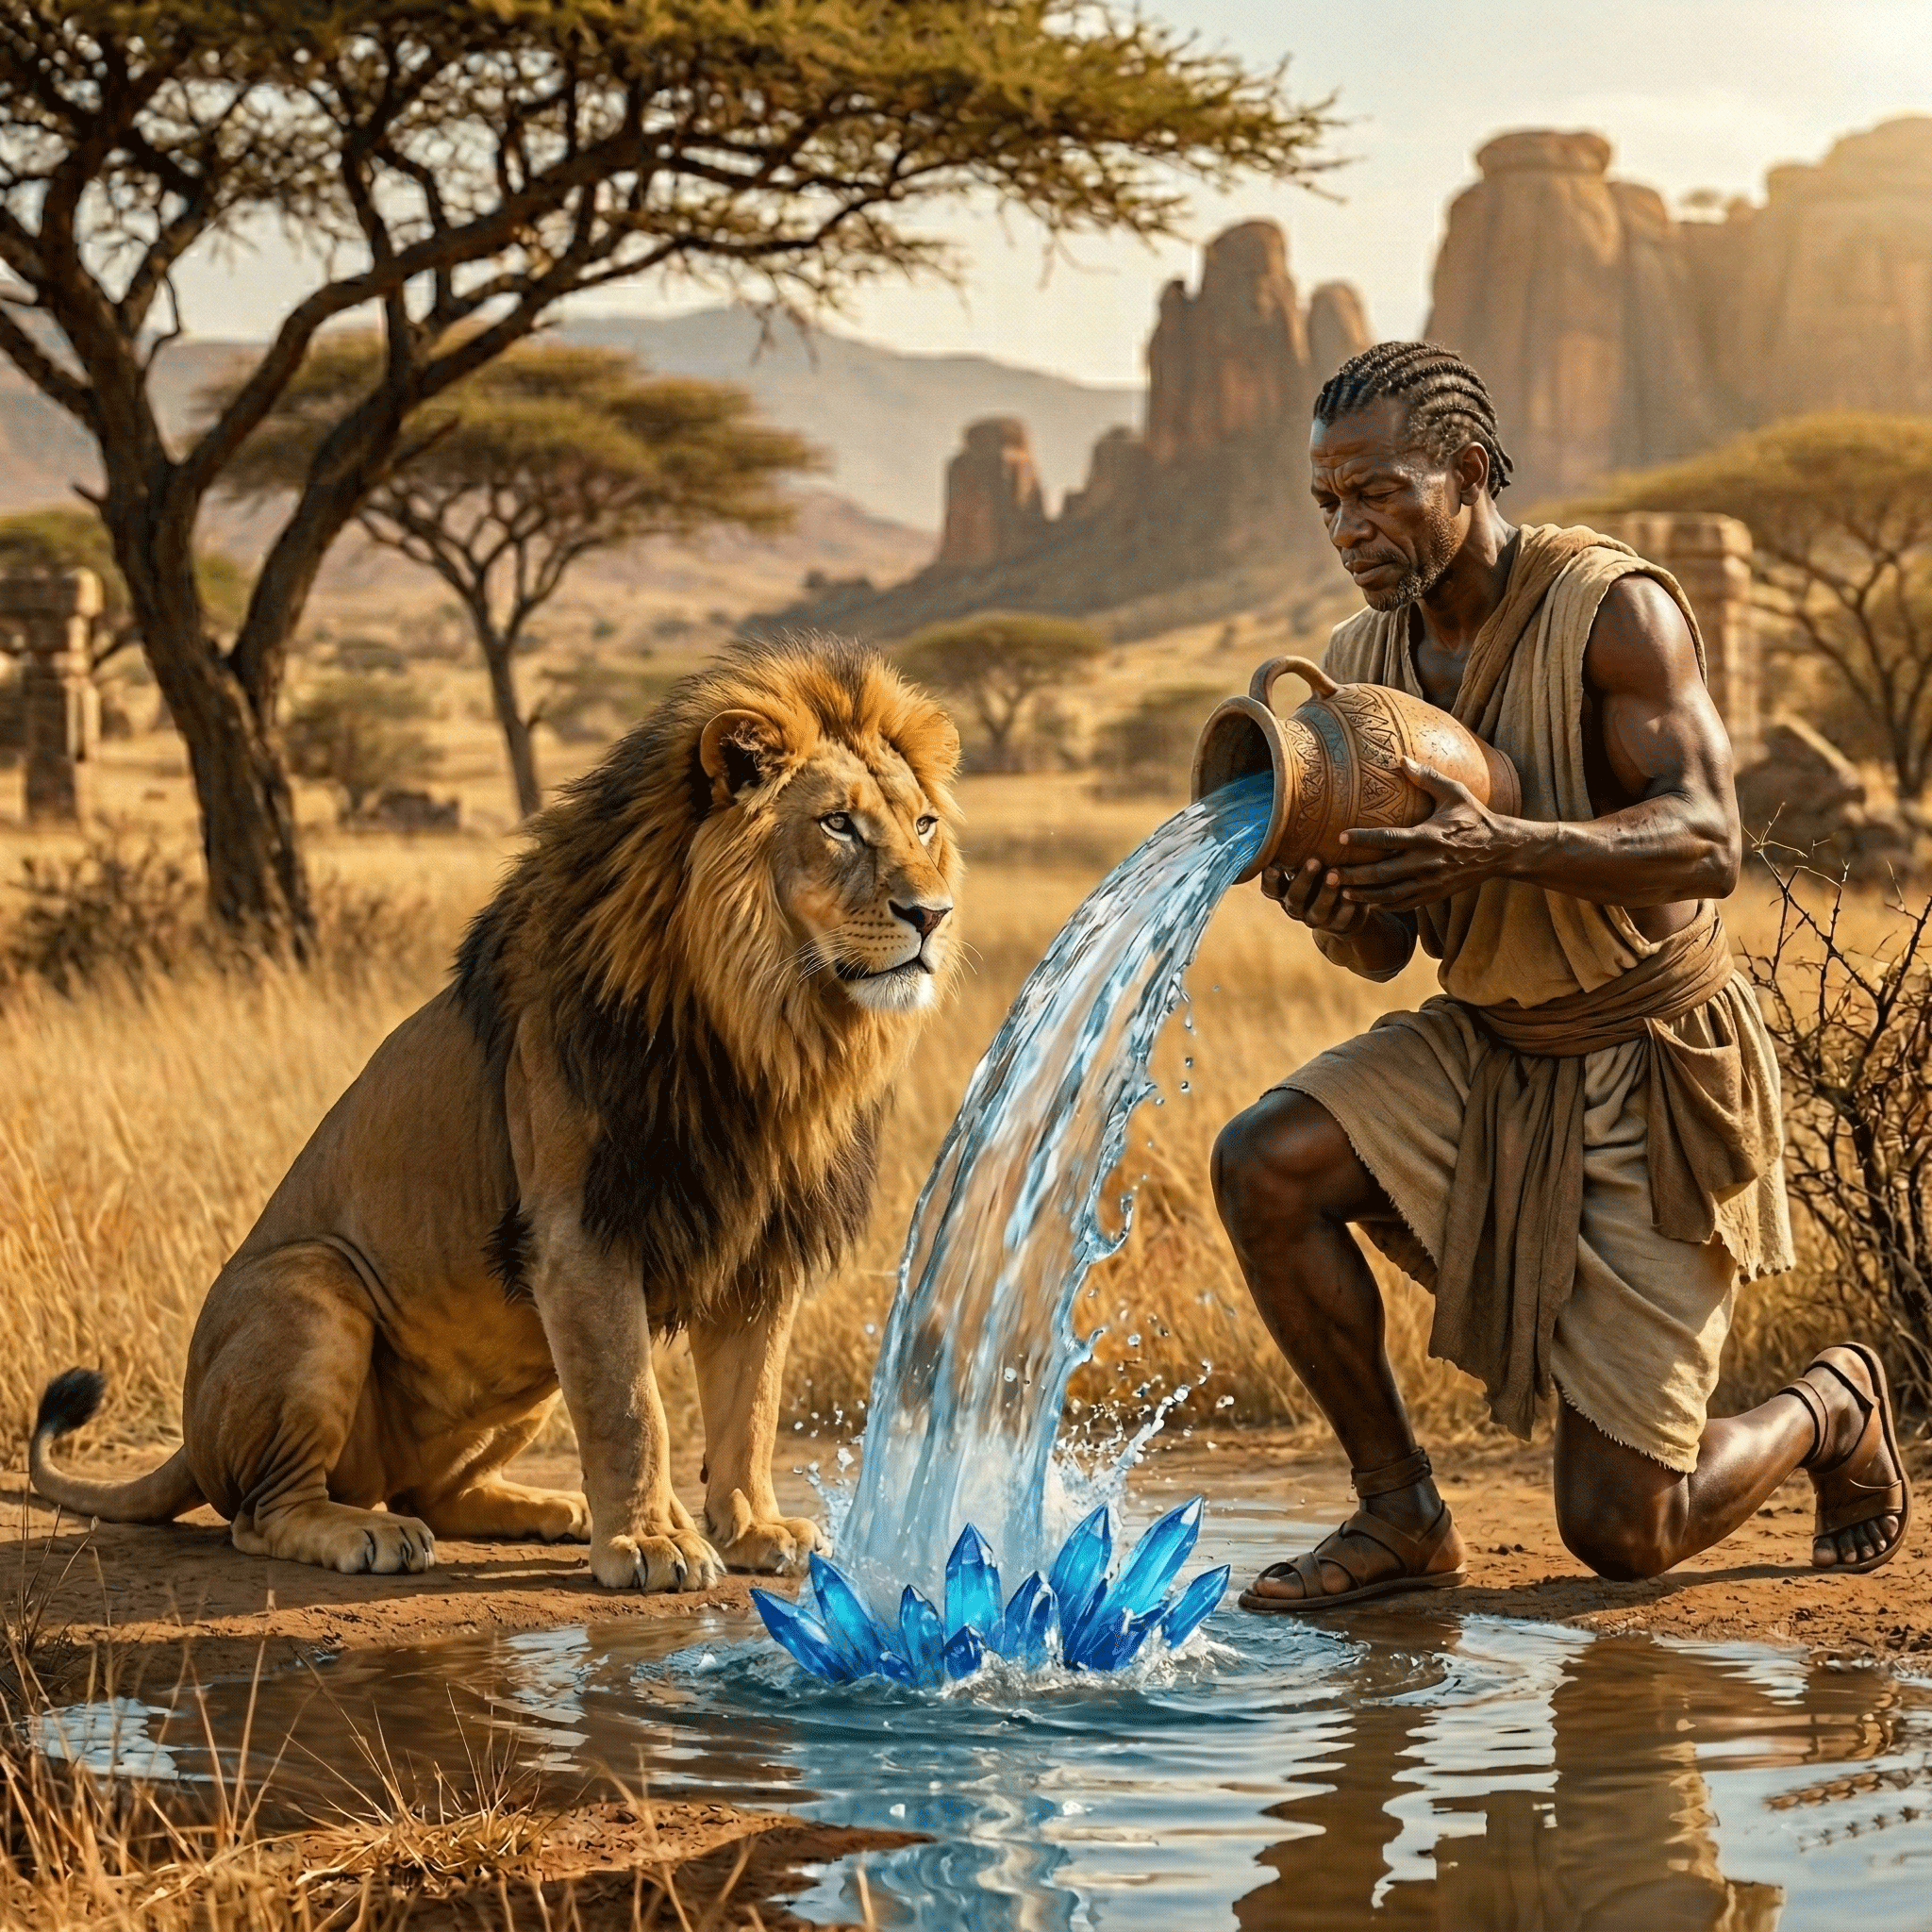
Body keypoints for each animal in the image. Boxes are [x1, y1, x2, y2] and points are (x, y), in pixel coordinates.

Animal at [30, 638, 961, 1591]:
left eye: (924, 825)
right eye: (839, 825)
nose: (932, 914)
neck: (766, 1030)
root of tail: (187, 1432)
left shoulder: (762, 1243)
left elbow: (751, 1408)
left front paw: (750, 1530)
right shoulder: (578, 1234)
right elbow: (634, 1409)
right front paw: (651, 1543)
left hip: (515, 1370)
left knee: (432, 1492)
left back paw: (549, 1509)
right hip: (313, 1285)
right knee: (264, 1512)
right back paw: (367, 1533)